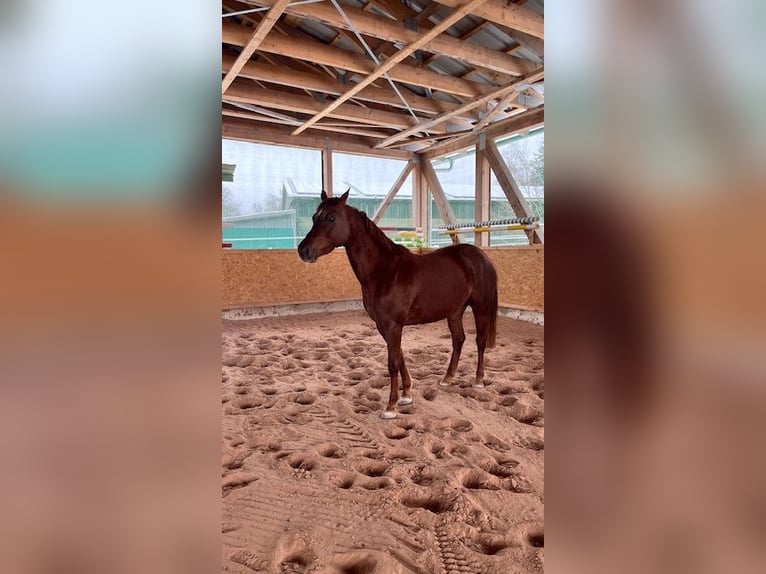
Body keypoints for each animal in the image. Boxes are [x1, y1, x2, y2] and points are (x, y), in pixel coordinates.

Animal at [298, 190, 498, 419]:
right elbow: (400, 356)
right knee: (458, 340)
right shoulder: (383, 325)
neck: (385, 271)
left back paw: (479, 380)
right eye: (314, 217)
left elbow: (393, 362)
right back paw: (447, 379)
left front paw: (391, 406)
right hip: (455, 312)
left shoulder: (394, 325)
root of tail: (482, 257)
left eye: (331, 218)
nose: (303, 250)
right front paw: (406, 395)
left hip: (480, 309)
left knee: (480, 341)